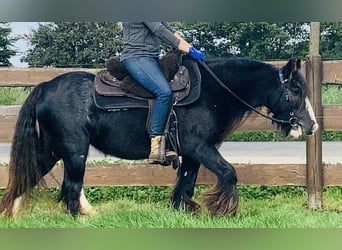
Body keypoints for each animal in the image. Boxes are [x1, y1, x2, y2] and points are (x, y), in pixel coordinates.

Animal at [0, 55, 318, 217]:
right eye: (295, 90)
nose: (311, 126)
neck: (212, 93)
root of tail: (44, 87)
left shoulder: (192, 153)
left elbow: (187, 181)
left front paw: (183, 210)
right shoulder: (200, 147)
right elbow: (229, 173)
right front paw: (223, 209)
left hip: (51, 151)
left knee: (28, 178)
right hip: (74, 152)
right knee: (71, 186)